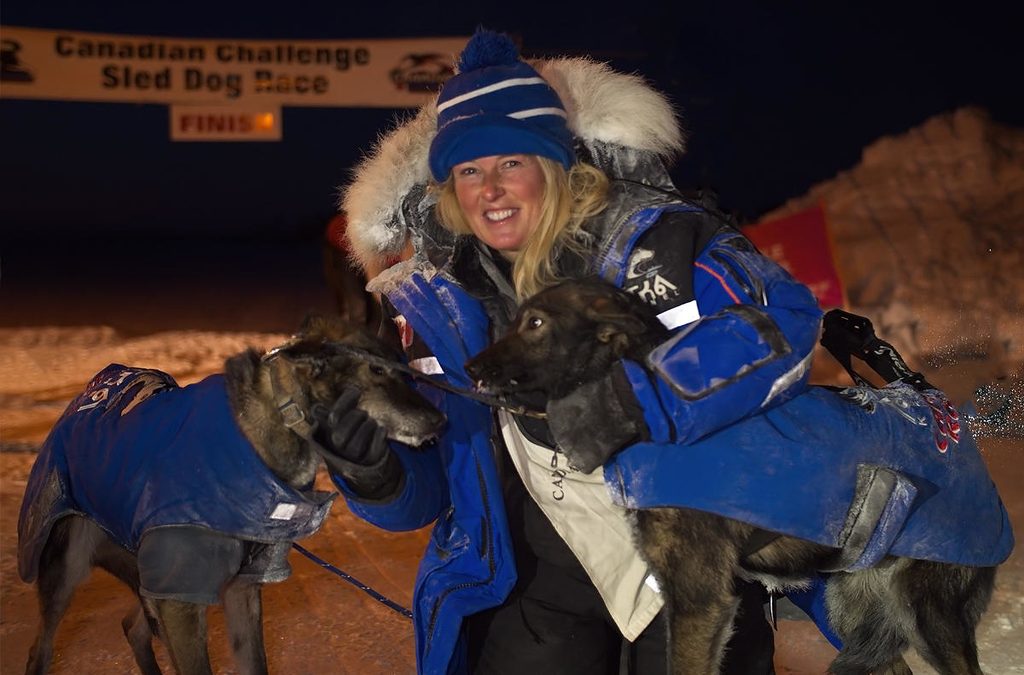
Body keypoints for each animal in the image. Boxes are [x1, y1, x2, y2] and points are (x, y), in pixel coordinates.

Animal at [17, 313, 444, 671]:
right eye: (377, 371)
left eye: (404, 371)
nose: (442, 419)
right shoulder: (180, 599)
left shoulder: (237, 589)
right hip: (68, 569)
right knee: (41, 647)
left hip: (150, 574)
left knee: (133, 625)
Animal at [468, 278, 1011, 675]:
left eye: (535, 322)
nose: (471, 365)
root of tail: (935, 405)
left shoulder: (699, 600)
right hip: (853, 609)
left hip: (927, 613)